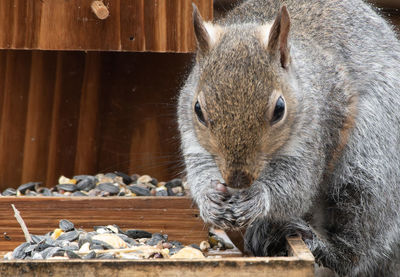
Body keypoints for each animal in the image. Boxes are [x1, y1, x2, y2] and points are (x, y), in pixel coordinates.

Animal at [178, 1, 400, 274]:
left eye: (279, 109)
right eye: (198, 109)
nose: (238, 180)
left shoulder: (317, 130)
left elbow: (296, 187)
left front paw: (258, 196)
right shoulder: (192, 136)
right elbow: (199, 168)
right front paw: (210, 199)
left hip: (372, 158)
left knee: (359, 236)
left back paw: (321, 246)